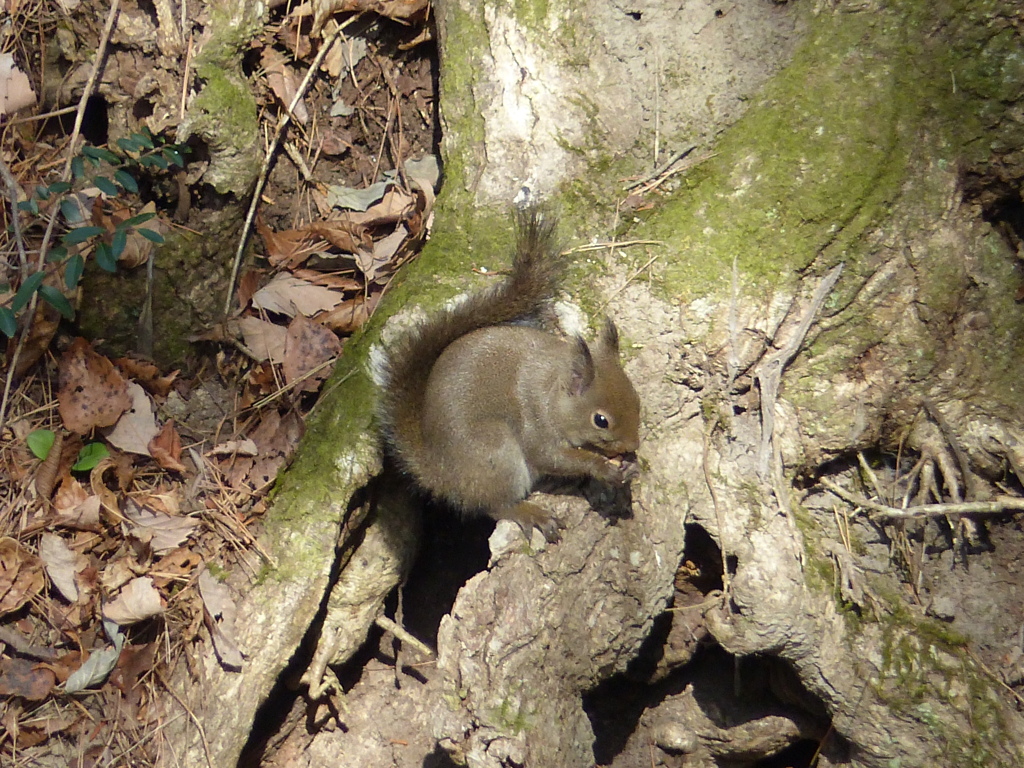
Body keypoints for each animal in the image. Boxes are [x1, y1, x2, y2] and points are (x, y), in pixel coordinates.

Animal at [376, 207, 638, 544]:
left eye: (637, 400)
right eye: (601, 420)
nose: (632, 446)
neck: (553, 389)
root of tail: (442, 474)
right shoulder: (536, 425)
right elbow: (551, 457)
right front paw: (603, 467)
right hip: (497, 453)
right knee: (494, 505)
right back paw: (530, 513)